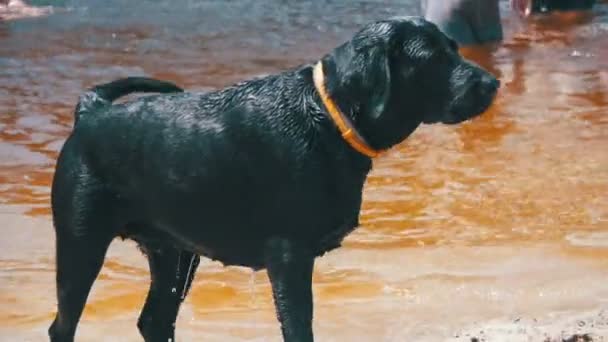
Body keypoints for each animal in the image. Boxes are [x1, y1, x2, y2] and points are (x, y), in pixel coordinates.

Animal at [50, 16, 498, 342]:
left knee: (154, 321)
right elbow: (299, 328)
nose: (493, 83)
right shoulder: (289, 256)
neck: (327, 119)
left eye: (454, 50)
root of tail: (90, 110)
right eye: (432, 58)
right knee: (63, 325)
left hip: (175, 252)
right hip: (80, 243)